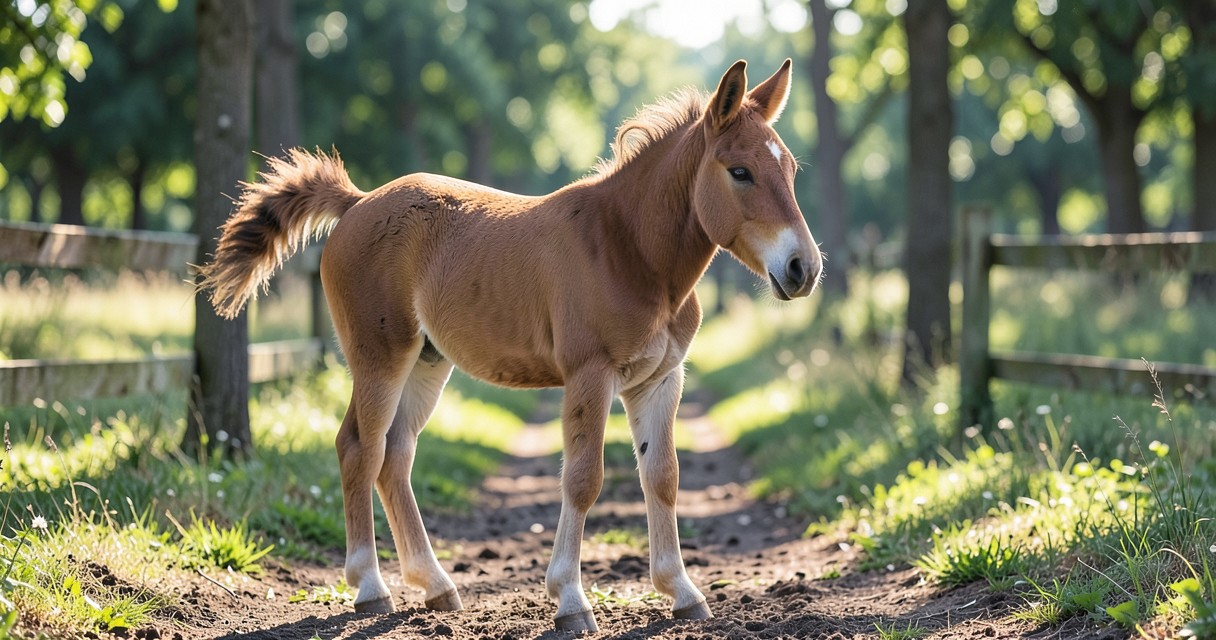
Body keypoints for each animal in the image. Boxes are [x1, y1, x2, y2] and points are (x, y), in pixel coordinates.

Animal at [200, 58, 822, 633]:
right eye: (739, 171)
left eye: (790, 168)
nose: (803, 269)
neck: (627, 248)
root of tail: (355, 203)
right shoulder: (589, 375)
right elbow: (583, 479)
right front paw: (570, 601)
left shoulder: (660, 379)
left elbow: (663, 477)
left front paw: (682, 593)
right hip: (380, 356)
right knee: (360, 447)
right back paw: (372, 588)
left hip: (427, 362)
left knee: (395, 456)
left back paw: (436, 586)